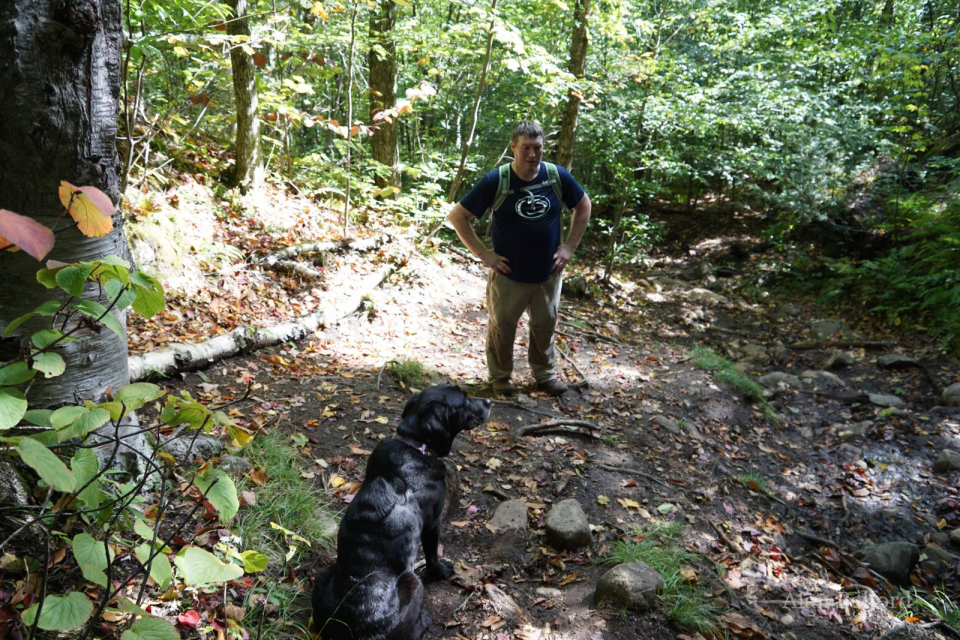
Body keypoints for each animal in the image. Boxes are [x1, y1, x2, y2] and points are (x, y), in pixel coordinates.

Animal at [312, 384, 492, 640]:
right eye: (465, 400)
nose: (489, 402)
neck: (415, 444)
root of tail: (360, 633)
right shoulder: (433, 523)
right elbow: (432, 555)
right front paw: (441, 571)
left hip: (322, 574)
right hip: (413, 581)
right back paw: (424, 619)